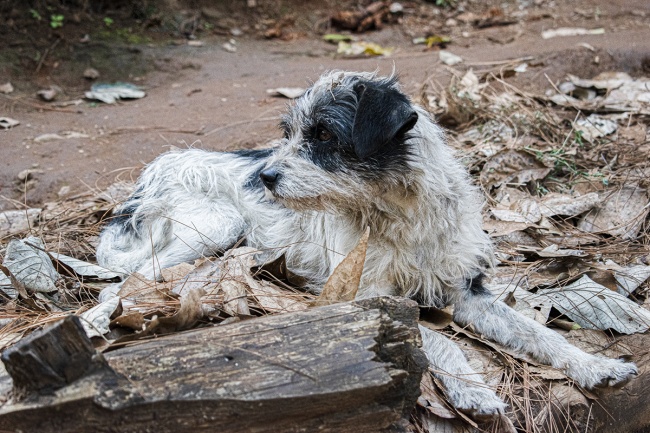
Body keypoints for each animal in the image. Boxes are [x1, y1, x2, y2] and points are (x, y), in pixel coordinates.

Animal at [96, 71, 632, 418]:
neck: (397, 215)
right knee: (116, 288)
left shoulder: (468, 291)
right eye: (290, 134)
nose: (265, 177)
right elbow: (435, 337)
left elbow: (541, 334)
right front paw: (473, 391)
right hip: (216, 225)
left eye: (323, 135)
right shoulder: (367, 298)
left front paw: (596, 365)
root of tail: (155, 169)